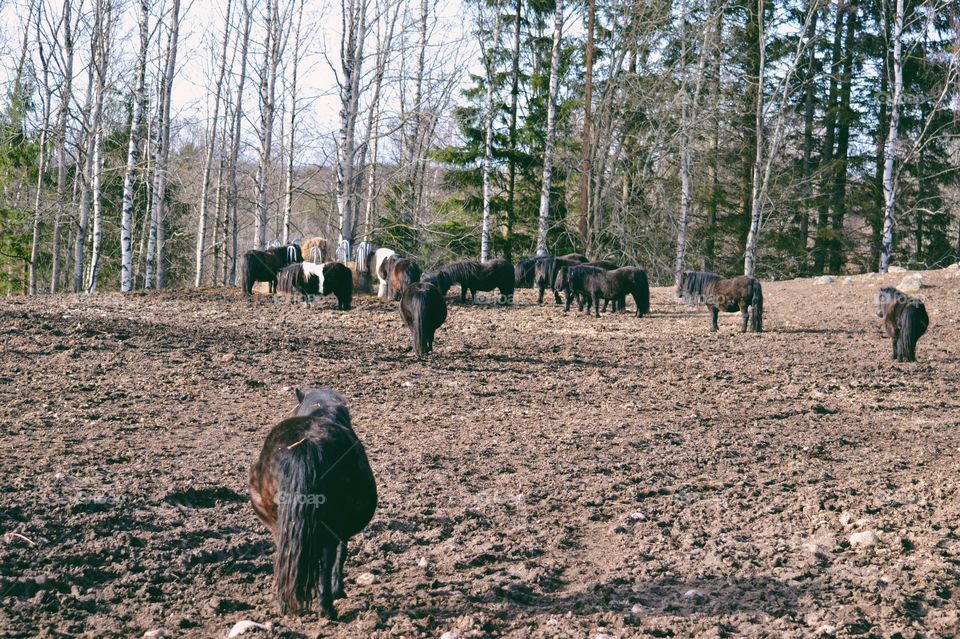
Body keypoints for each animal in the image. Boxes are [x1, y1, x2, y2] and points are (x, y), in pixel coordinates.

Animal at [249, 388, 377, 620]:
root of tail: (305, 444)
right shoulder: (340, 531)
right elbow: (339, 557)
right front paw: (338, 590)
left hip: (280, 525)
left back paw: (285, 604)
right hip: (331, 526)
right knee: (327, 561)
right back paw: (327, 607)